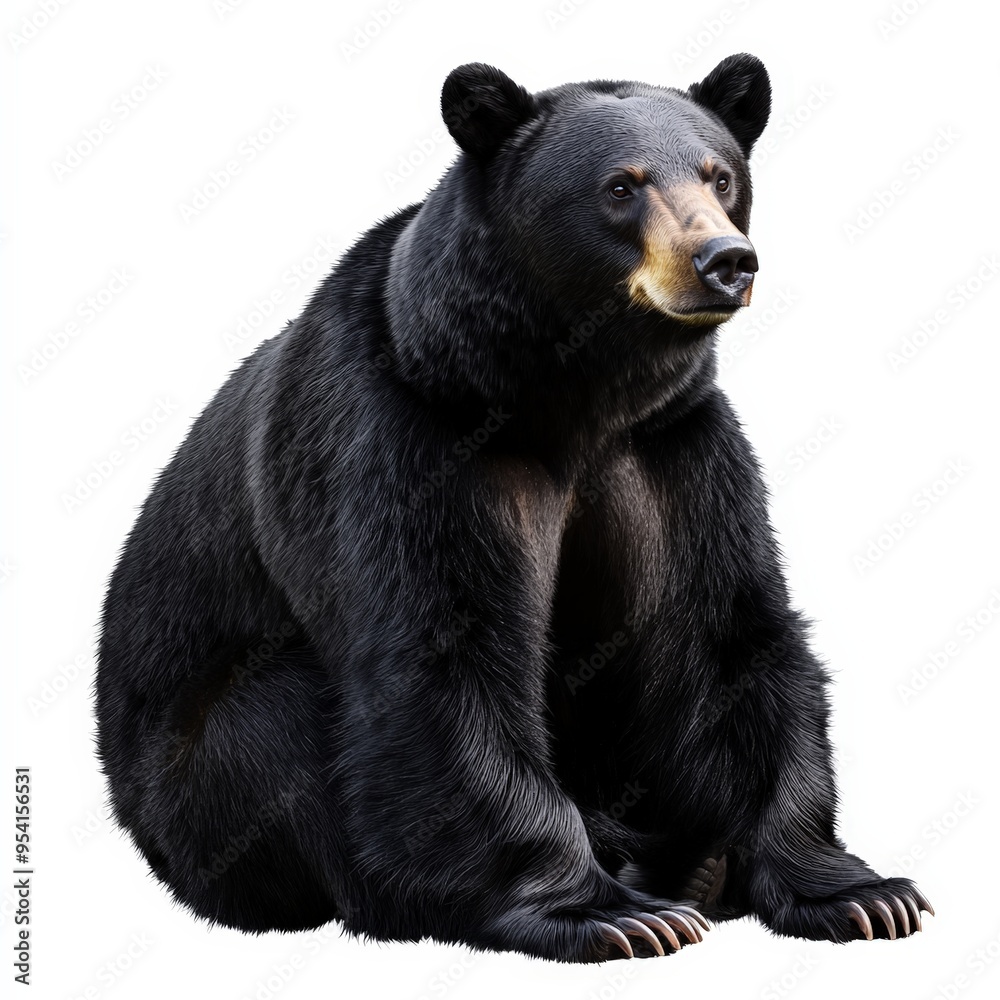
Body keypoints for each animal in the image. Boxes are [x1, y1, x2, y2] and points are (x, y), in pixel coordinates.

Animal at [95, 54, 933, 963]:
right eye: (621, 186)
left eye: (720, 176)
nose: (726, 261)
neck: (565, 394)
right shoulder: (407, 437)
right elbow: (446, 648)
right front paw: (605, 913)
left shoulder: (672, 450)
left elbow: (725, 635)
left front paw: (861, 892)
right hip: (194, 784)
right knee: (276, 719)